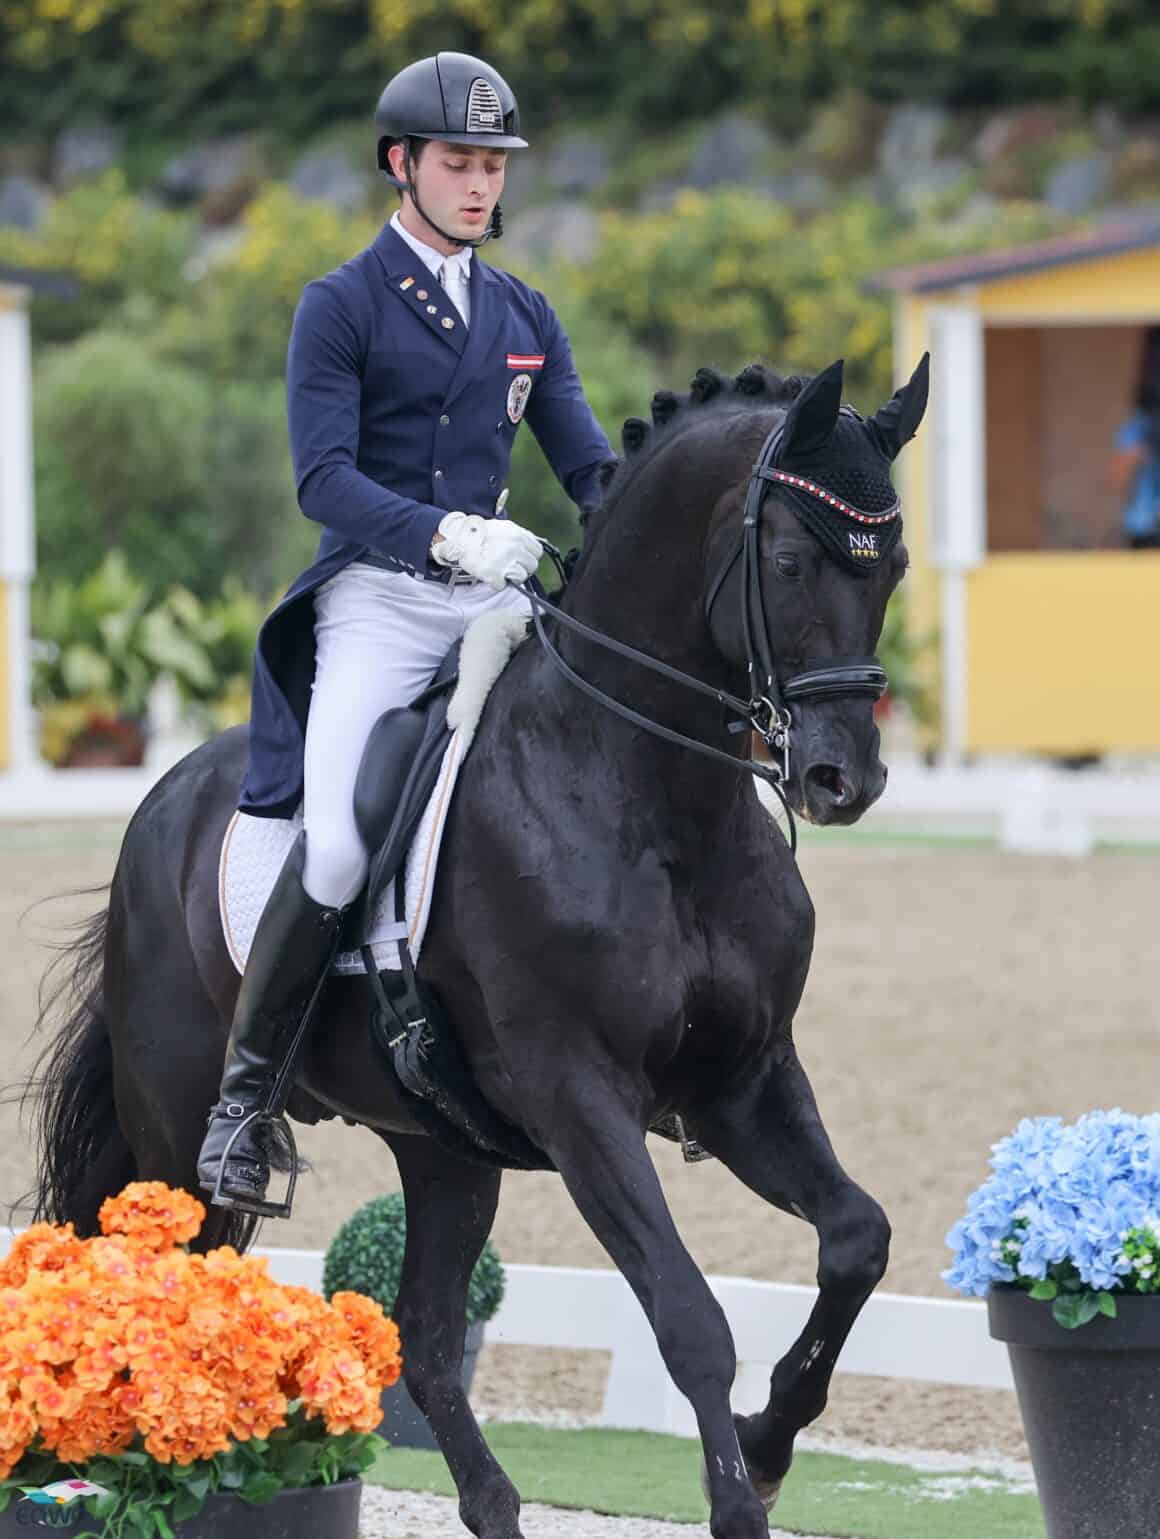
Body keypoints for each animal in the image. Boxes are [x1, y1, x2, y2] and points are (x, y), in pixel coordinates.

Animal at [29, 353, 923, 1539]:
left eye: (893, 566)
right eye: (784, 561)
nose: (841, 779)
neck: (653, 800)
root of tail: (162, 803)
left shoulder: (743, 1081)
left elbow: (856, 1239)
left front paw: (772, 1444)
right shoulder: (578, 1097)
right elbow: (689, 1318)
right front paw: (738, 1500)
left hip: (442, 1143)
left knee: (422, 1328)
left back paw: (493, 1505)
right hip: (179, 1128)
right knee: (168, 1282)